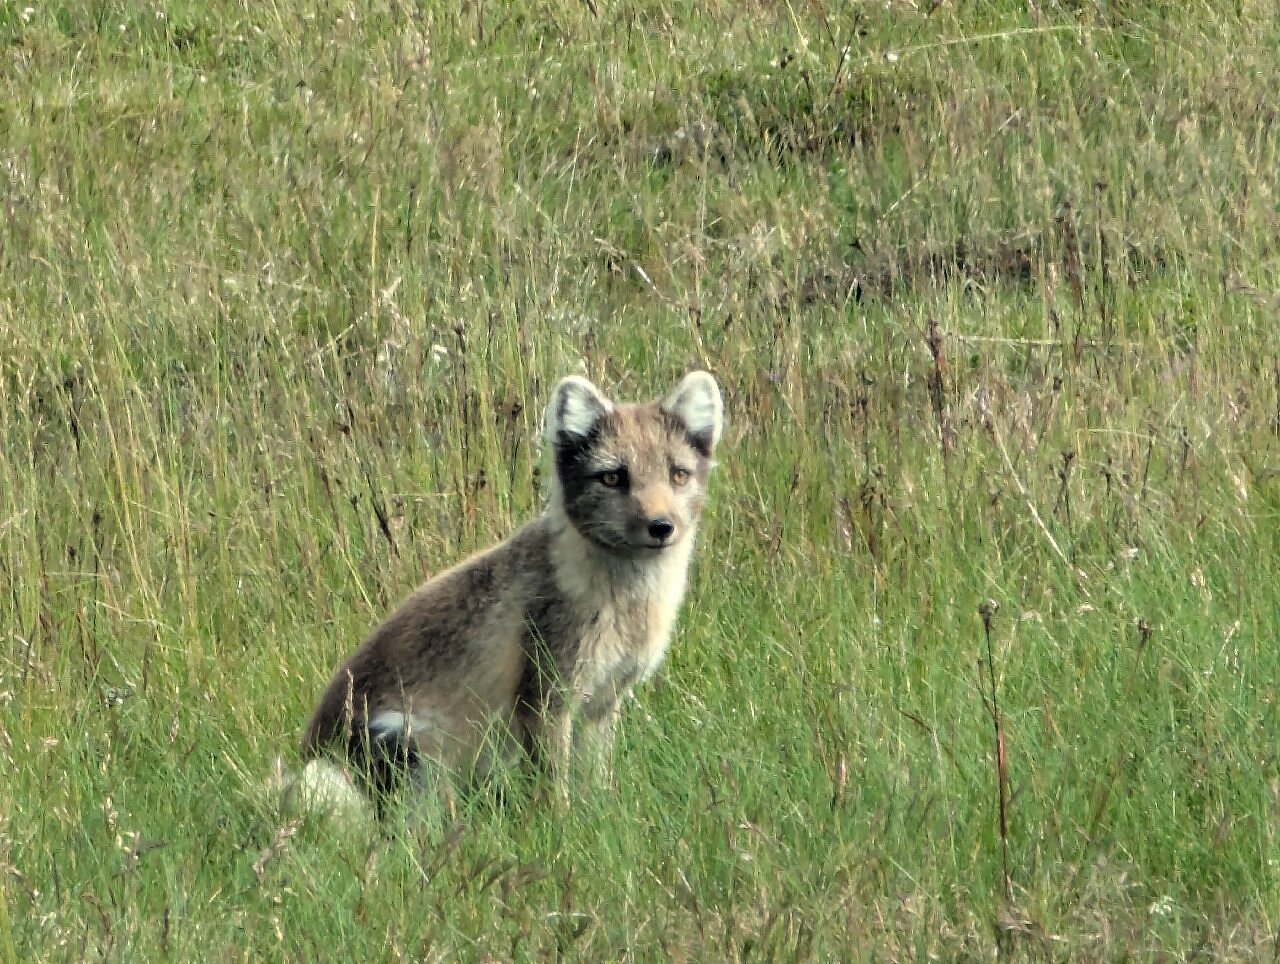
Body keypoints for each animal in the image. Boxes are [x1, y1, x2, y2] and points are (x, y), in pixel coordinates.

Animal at [293, 368, 727, 814]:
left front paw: (600, 814)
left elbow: (597, 784)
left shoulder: (602, 703)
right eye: (612, 477)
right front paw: (561, 824)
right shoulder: (547, 697)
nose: (661, 527)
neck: (630, 605)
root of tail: (307, 754)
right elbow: (554, 789)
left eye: (678, 474)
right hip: (414, 750)